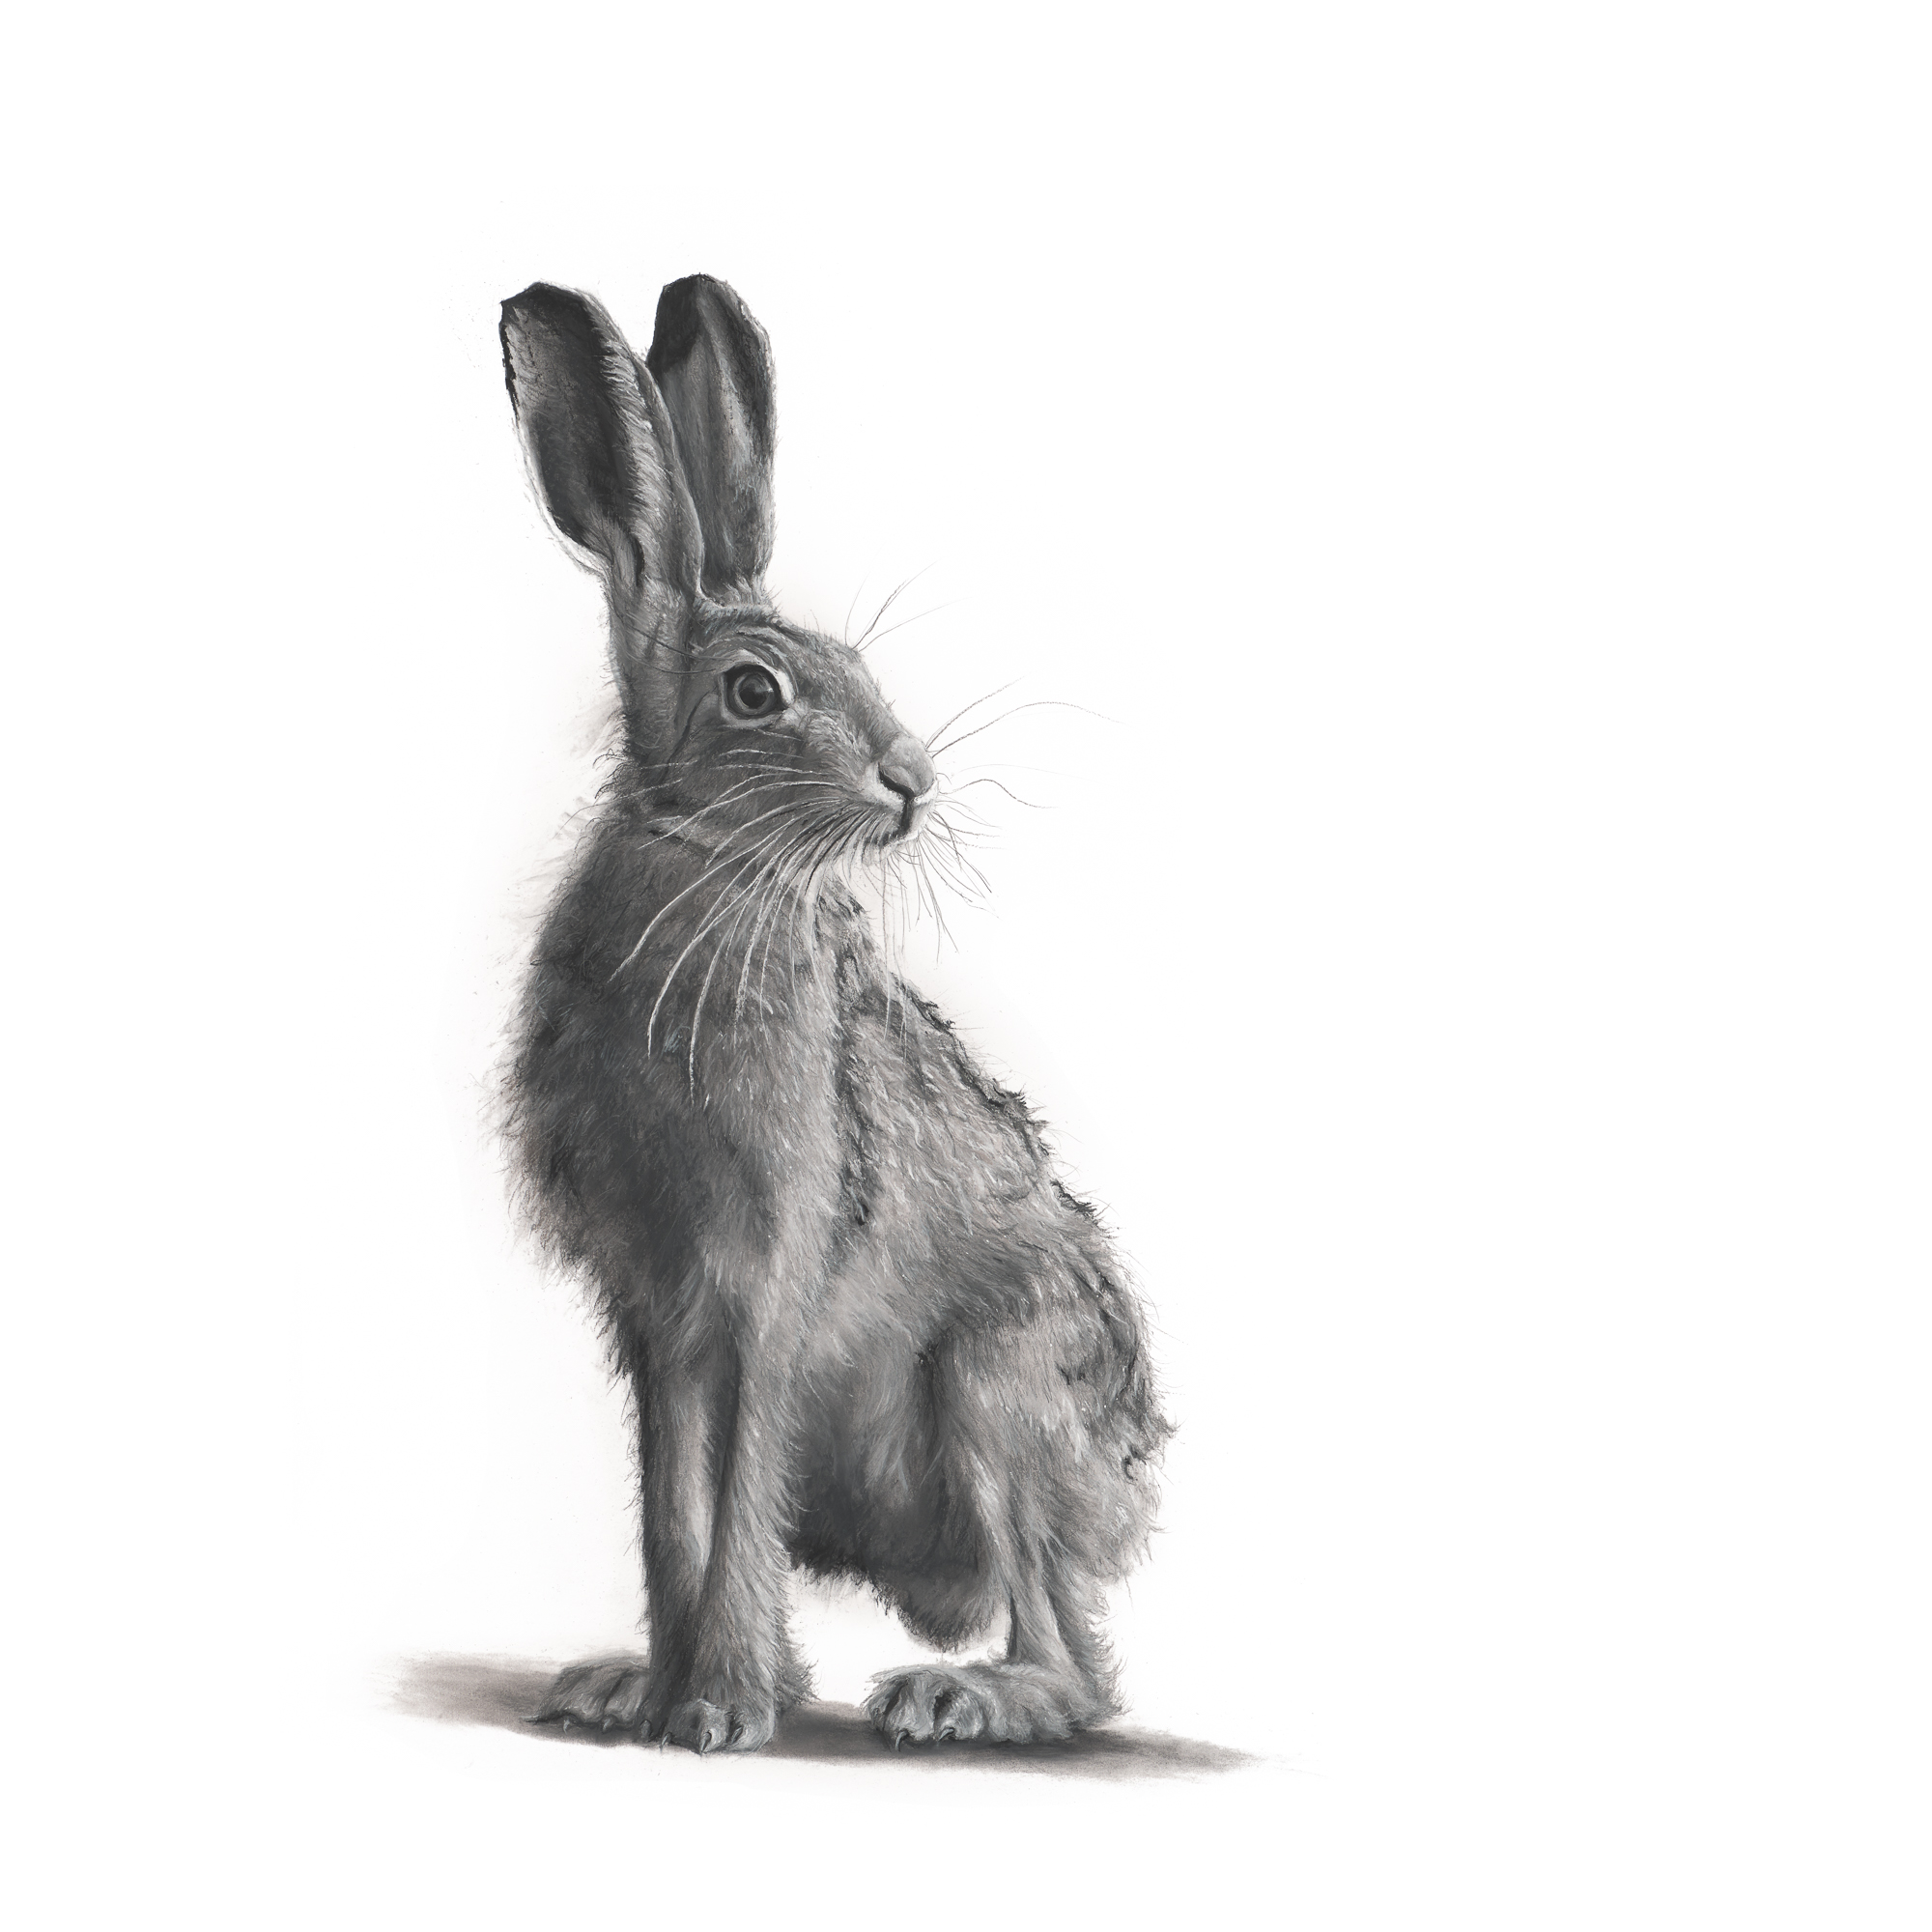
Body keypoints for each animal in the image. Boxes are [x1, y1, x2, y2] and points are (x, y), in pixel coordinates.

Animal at [498, 274, 1170, 1754]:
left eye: (861, 664)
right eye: (758, 691)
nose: (910, 779)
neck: (713, 869)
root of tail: (1131, 1481)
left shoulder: (769, 1277)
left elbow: (739, 1488)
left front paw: (720, 1708)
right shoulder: (656, 1313)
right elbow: (675, 1506)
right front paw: (666, 1690)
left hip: (995, 1388)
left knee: (1075, 1660)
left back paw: (958, 1694)